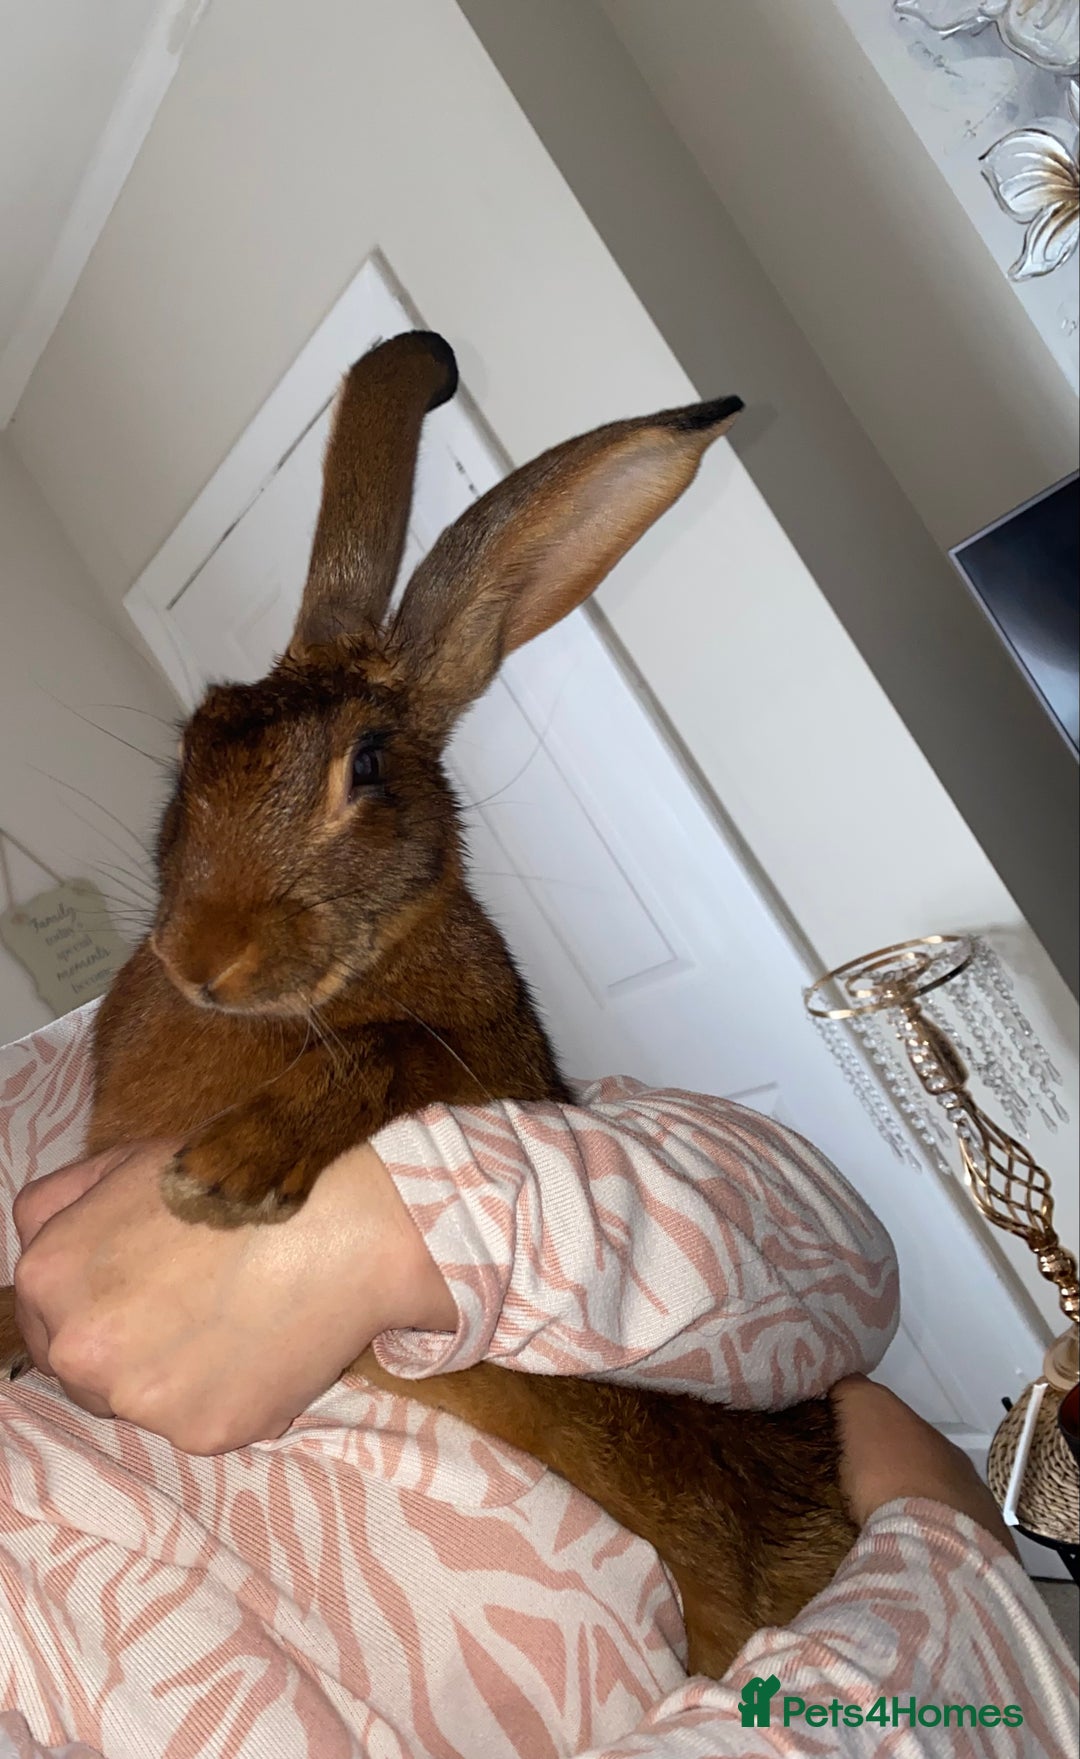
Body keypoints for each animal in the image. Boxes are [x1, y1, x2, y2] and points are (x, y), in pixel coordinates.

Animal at [0, 331, 855, 1675]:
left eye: (368, 766)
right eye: (191, 752)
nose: (203, 956)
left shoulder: (490, 1069)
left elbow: (391, 1043)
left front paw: (228, 1175)